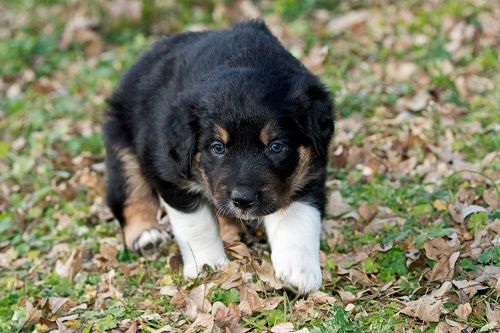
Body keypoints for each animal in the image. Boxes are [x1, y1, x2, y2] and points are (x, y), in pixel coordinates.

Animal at [103, 20, 334, 294]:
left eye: (276, 147)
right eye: (217, 147)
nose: (243, 200)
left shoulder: (307, 173)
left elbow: (296, 220)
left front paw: (300, 272)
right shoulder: (171, 175)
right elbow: (196, 224)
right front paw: (207, 265)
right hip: (121, 147)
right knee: (130, 195)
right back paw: (147, 236)